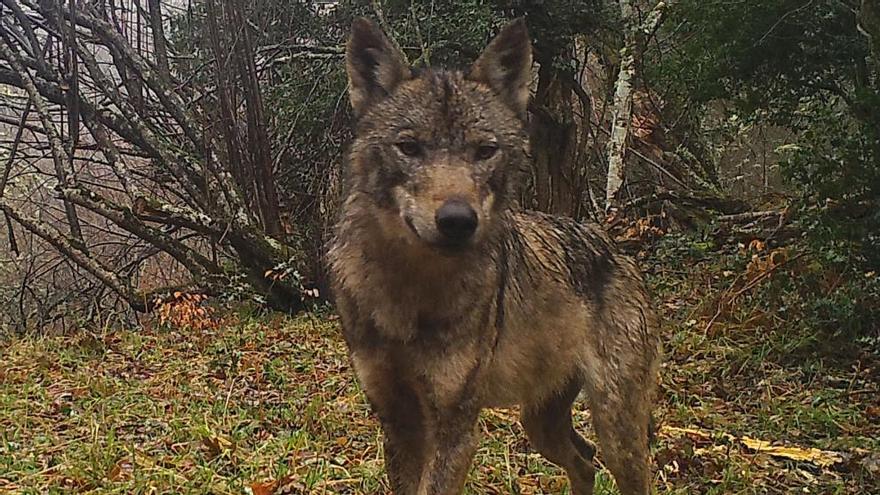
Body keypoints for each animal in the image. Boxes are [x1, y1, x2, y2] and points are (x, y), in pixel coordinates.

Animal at [330, 16, 660, 495]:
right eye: (409, 147)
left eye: (484, 151)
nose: (456, 220)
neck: (412, 291)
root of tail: (620, 253)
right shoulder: (398, 423)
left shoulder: (456, 431)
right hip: (541, 424)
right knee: (585, 462)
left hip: (616, 429)